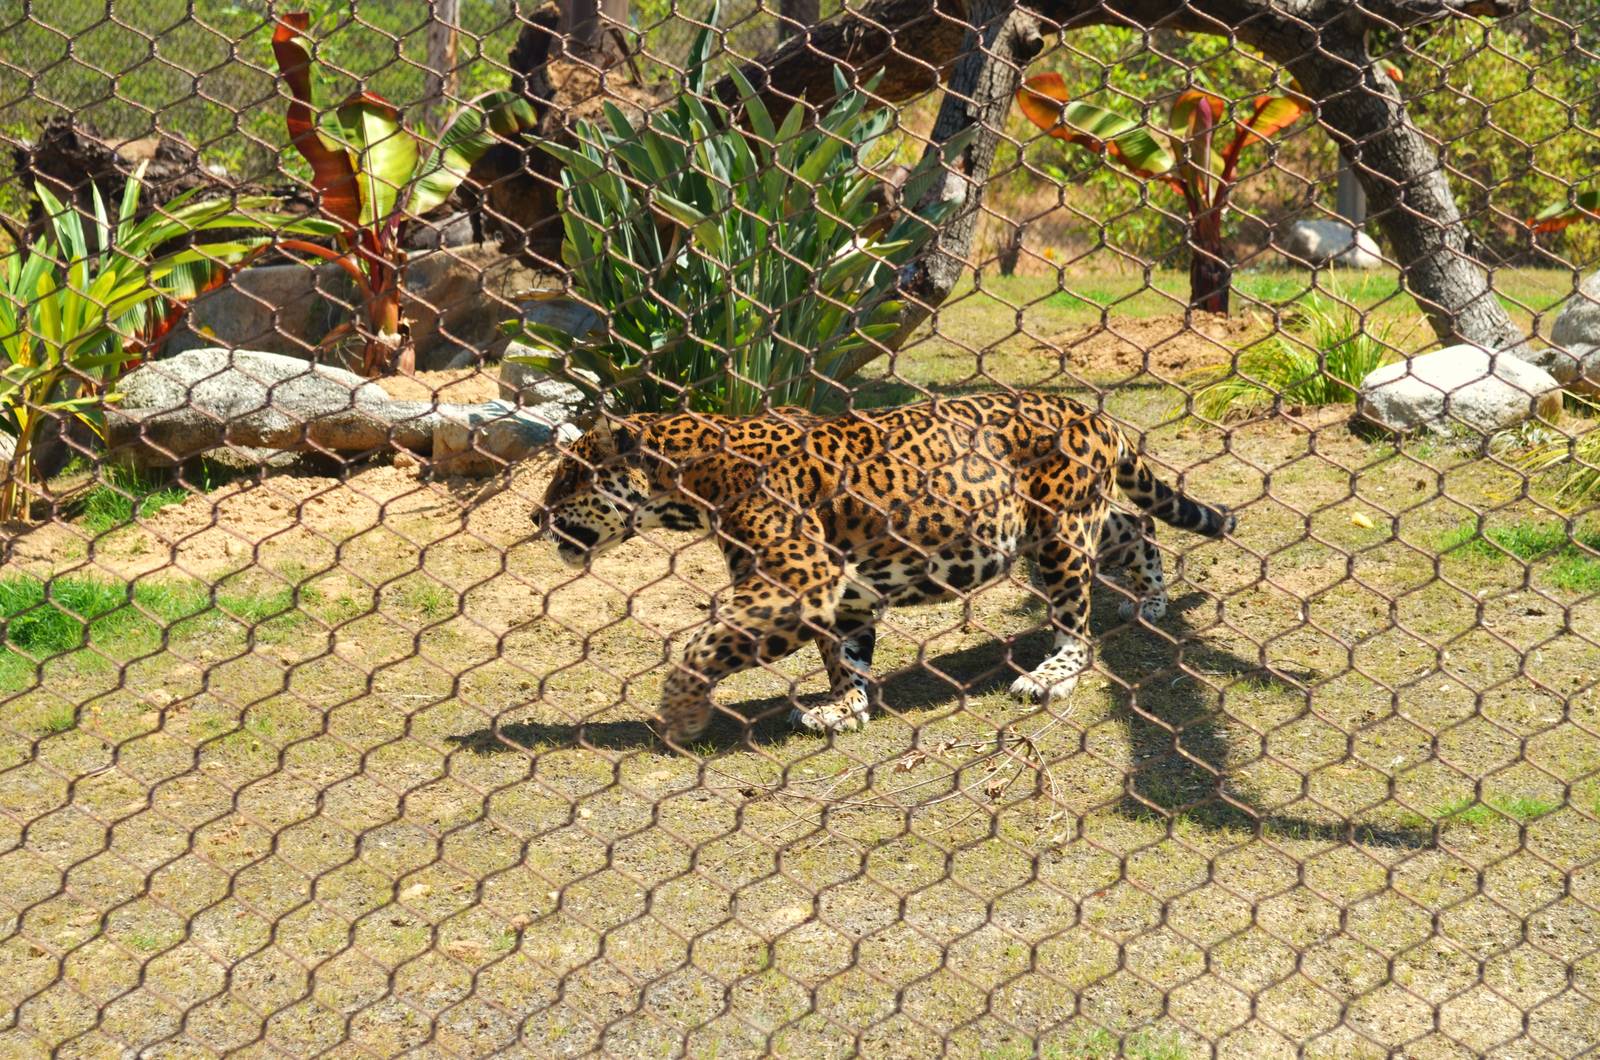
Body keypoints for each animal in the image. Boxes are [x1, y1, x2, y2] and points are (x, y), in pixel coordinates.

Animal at [539, 393, 1235, 744]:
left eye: (569, 477)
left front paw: (681, 712)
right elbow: (843, 656)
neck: (694, 478)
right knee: (1136, 525)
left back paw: (1049, 675)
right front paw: (846, 708)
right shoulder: (841, 592)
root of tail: (1096, 412)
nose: (535, 516)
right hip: (1057, 524)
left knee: (1077, 628)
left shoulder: (797, 579)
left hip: (1061, 532)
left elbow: (702, 646)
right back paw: (1151, 599)